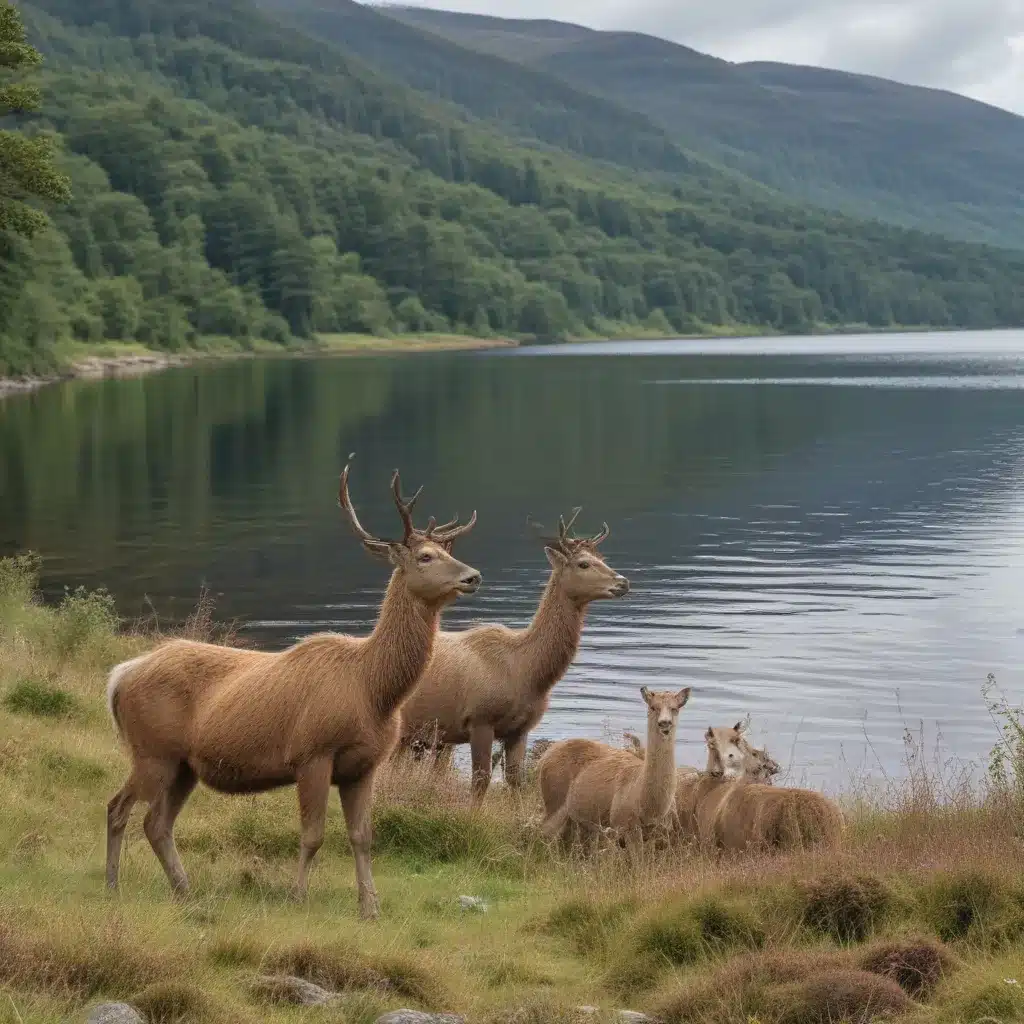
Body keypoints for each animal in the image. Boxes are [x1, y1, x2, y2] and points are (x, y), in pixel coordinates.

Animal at [103, 460, 479, 917]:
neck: (374, 692)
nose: (473, 576)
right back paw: (113, 885)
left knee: (156, 823)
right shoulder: (312, 752)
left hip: (182, 765)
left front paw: (370, 907)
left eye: (450, 551)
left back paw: (184, 889)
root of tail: (119, 676)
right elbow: (313, 835)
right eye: (426, 556)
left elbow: (362, 837)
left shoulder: (365, 765)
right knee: (117, 807)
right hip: (152, 751)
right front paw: (298, 896)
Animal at [395, 509, 626, 798]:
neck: (526, 671)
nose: (623, 582)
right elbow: (480, 781)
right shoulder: (480, 719)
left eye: (602, 559)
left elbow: (516, 781)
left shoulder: (521, 728)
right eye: (583, 563)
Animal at [536, 688, 688, 847]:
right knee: (543, 832)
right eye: (653, 707)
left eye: (675, 708)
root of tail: (544, 757)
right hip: (553, 798)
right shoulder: (624, 823)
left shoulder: (660, 831)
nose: (665, 723)